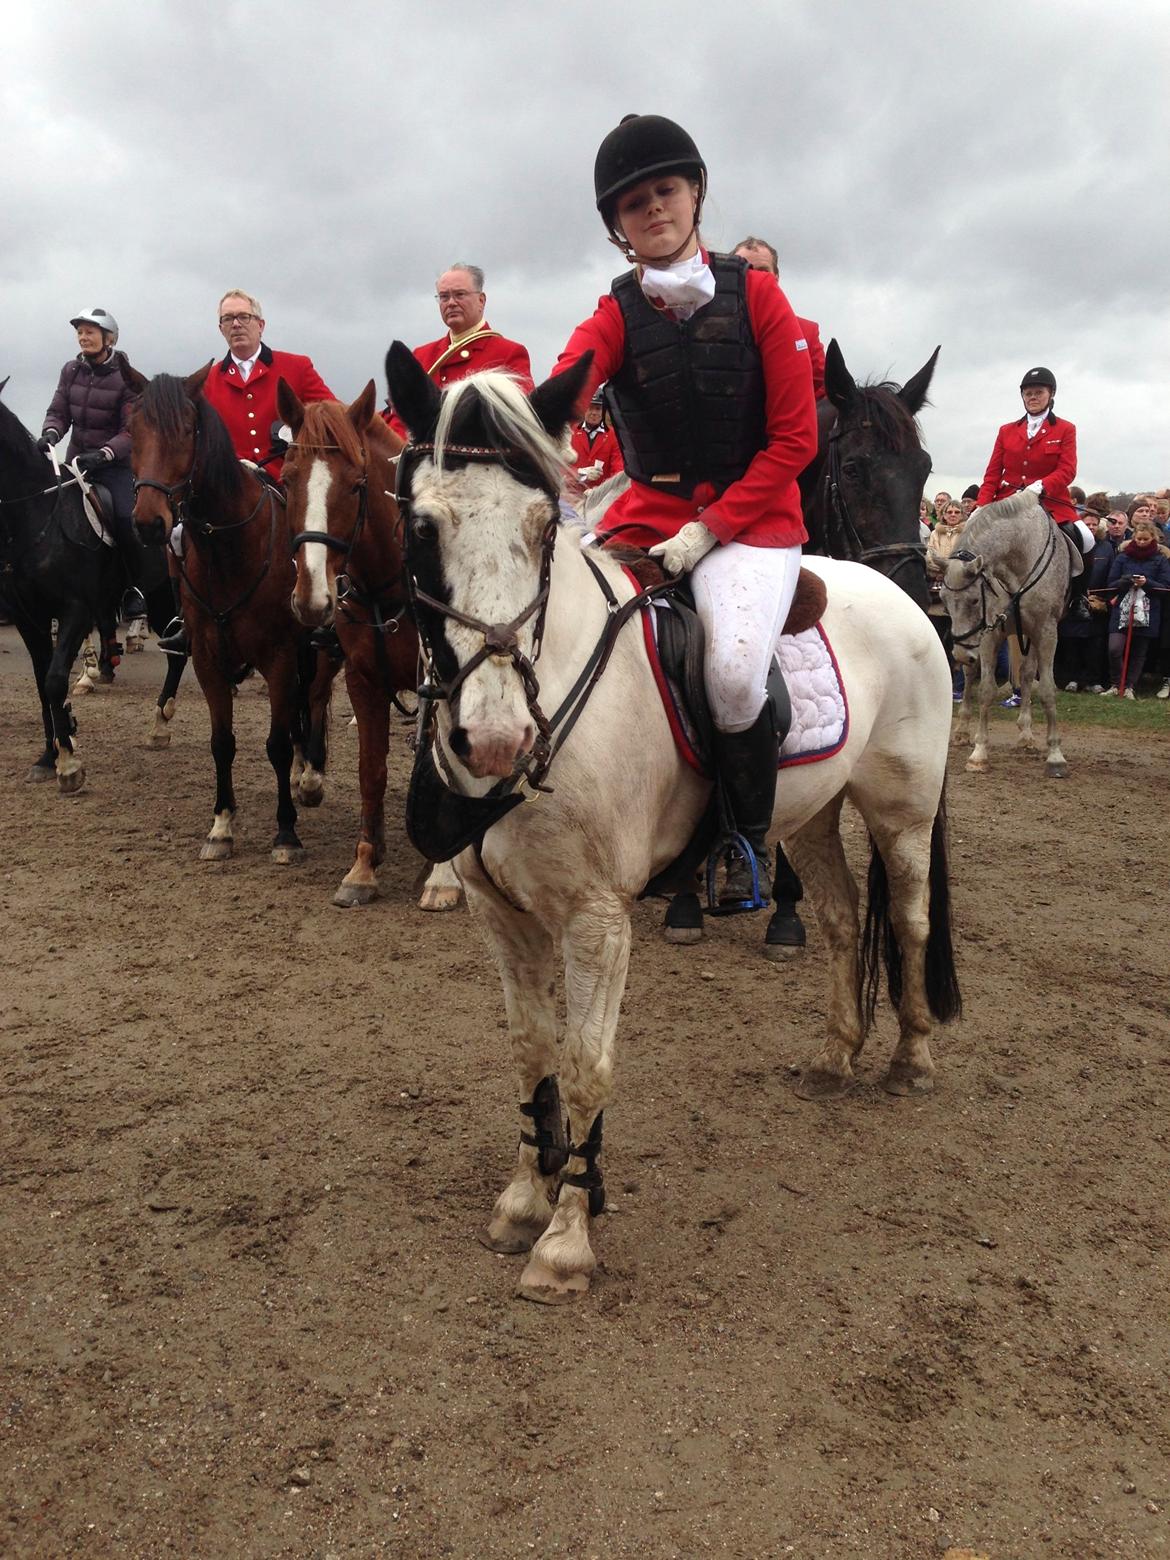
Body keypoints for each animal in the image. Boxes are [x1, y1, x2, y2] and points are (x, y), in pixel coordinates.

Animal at [0, 379, 182, 792]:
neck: (40, 519)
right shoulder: (29, 618)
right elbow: (43, 681)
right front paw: (50, 754)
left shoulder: (76, 609)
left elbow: (54, 680)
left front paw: (68, 763)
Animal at [129, 371, 316, 873]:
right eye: (134, 430)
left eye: (186, 431)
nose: (149, 523)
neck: (227, 551)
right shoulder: (208, 661)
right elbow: (222, 742)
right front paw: (221, 826)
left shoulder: (279, 657)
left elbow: (276, 743)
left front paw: (286, 833)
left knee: (309, 708)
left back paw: (309, 776)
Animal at [386, 344, 960, 1304]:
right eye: (424, 529)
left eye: (544, 528)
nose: (495, 740)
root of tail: (899, 597)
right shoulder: (500, 912)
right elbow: (530, 1050)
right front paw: (523, 1197)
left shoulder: (597, 921)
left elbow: (586, 1064)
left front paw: (567, 1238)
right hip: (808, 817)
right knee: (844, 918)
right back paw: (836, 1052)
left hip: (902, 809)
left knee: (909, 919)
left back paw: (913, 1059)